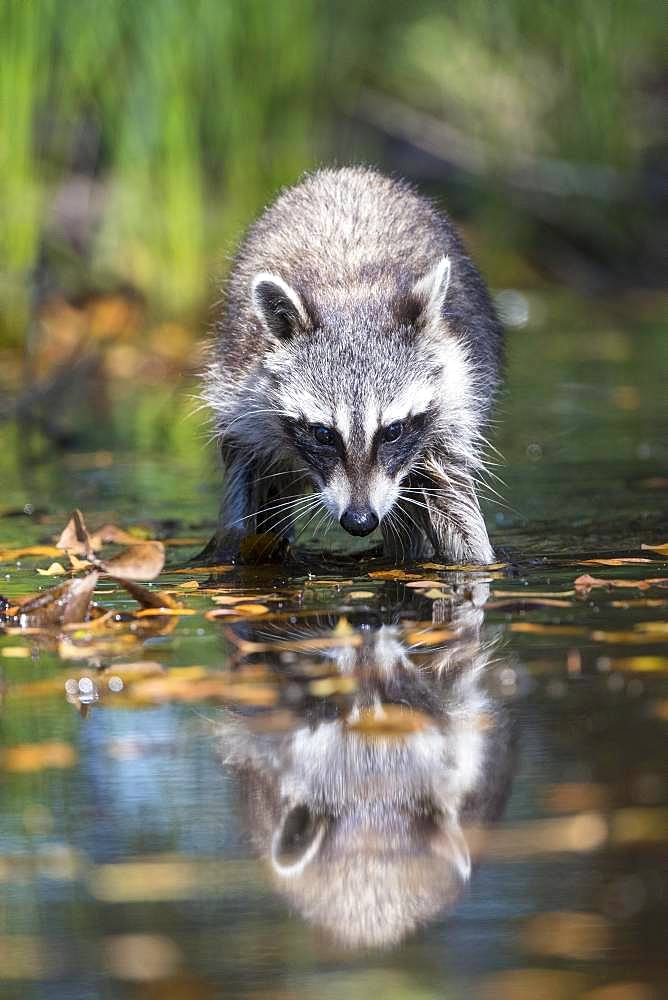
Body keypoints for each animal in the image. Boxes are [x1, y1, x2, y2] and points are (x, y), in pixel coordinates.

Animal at [206, 164, 504, 564]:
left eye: (392, 431)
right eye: (323, 434)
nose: (360, 521)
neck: (350, 294)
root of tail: (346, 172)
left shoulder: (450, 410)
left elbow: (454, 506)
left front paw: (476, 561)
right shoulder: (241, 397)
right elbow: (242, 493)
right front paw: (229, 548)